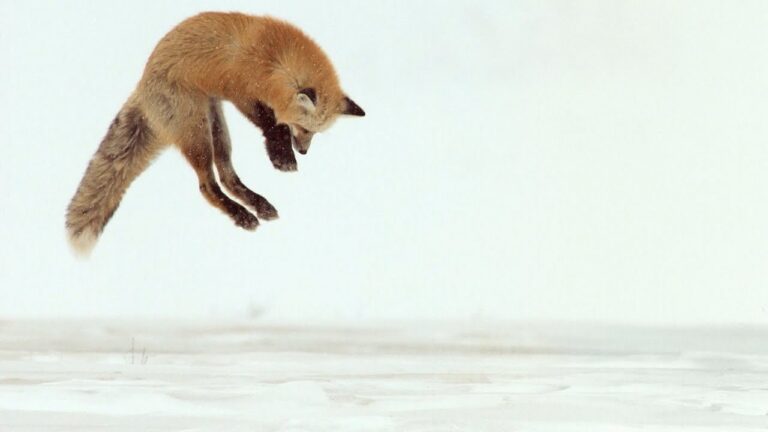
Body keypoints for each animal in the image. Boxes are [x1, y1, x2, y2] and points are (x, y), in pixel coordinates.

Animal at [65, 12, 365, 255]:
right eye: (304, 129)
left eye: (314, 133)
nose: (303, 151)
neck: (272, 58)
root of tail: (142, 86)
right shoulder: (242, 93)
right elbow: (272, 125)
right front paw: (281, 154)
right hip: (197, 135)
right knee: (206, 186)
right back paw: (240, 214)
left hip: (218, 129)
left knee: (227, 177)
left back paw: (256, 204)